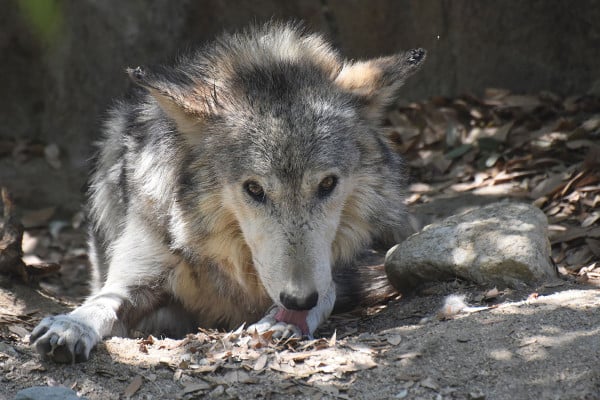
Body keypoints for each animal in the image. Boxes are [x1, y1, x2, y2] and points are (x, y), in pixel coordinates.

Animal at [29, 23, 426, 364]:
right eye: (254, 189)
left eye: (327, 184)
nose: (298, 299)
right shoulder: (141, 276)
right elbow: (104, 300)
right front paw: (71, 325)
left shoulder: (334, 270)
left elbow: (326, 292)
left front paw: (283, 320)